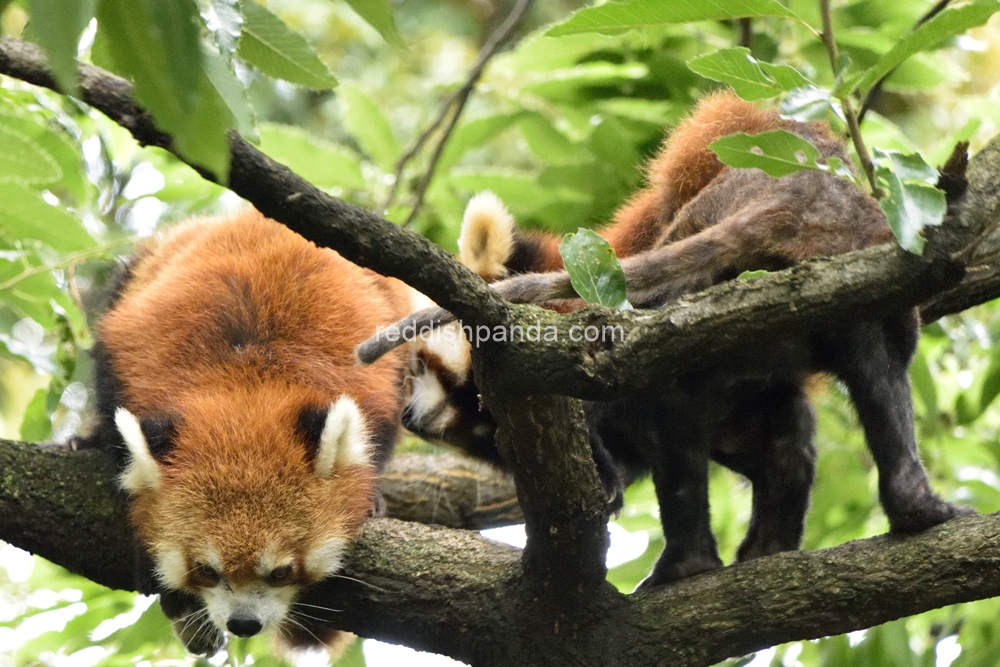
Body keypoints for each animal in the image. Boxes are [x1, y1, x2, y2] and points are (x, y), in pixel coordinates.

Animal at [87, 210, 414, 656]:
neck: (247, 383)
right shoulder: (127, 357)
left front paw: (371, 498)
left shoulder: (373, 381)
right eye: (206, 570)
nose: (243, 623)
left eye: (281, 572)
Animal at [378, 92, 972, 588]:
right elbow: (780, 447)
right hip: (856, 301)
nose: (410, 416)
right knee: (873, 379)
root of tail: (802, 190)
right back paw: (904, 506)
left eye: (436, 371)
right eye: (420, 370)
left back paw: (687, 562)